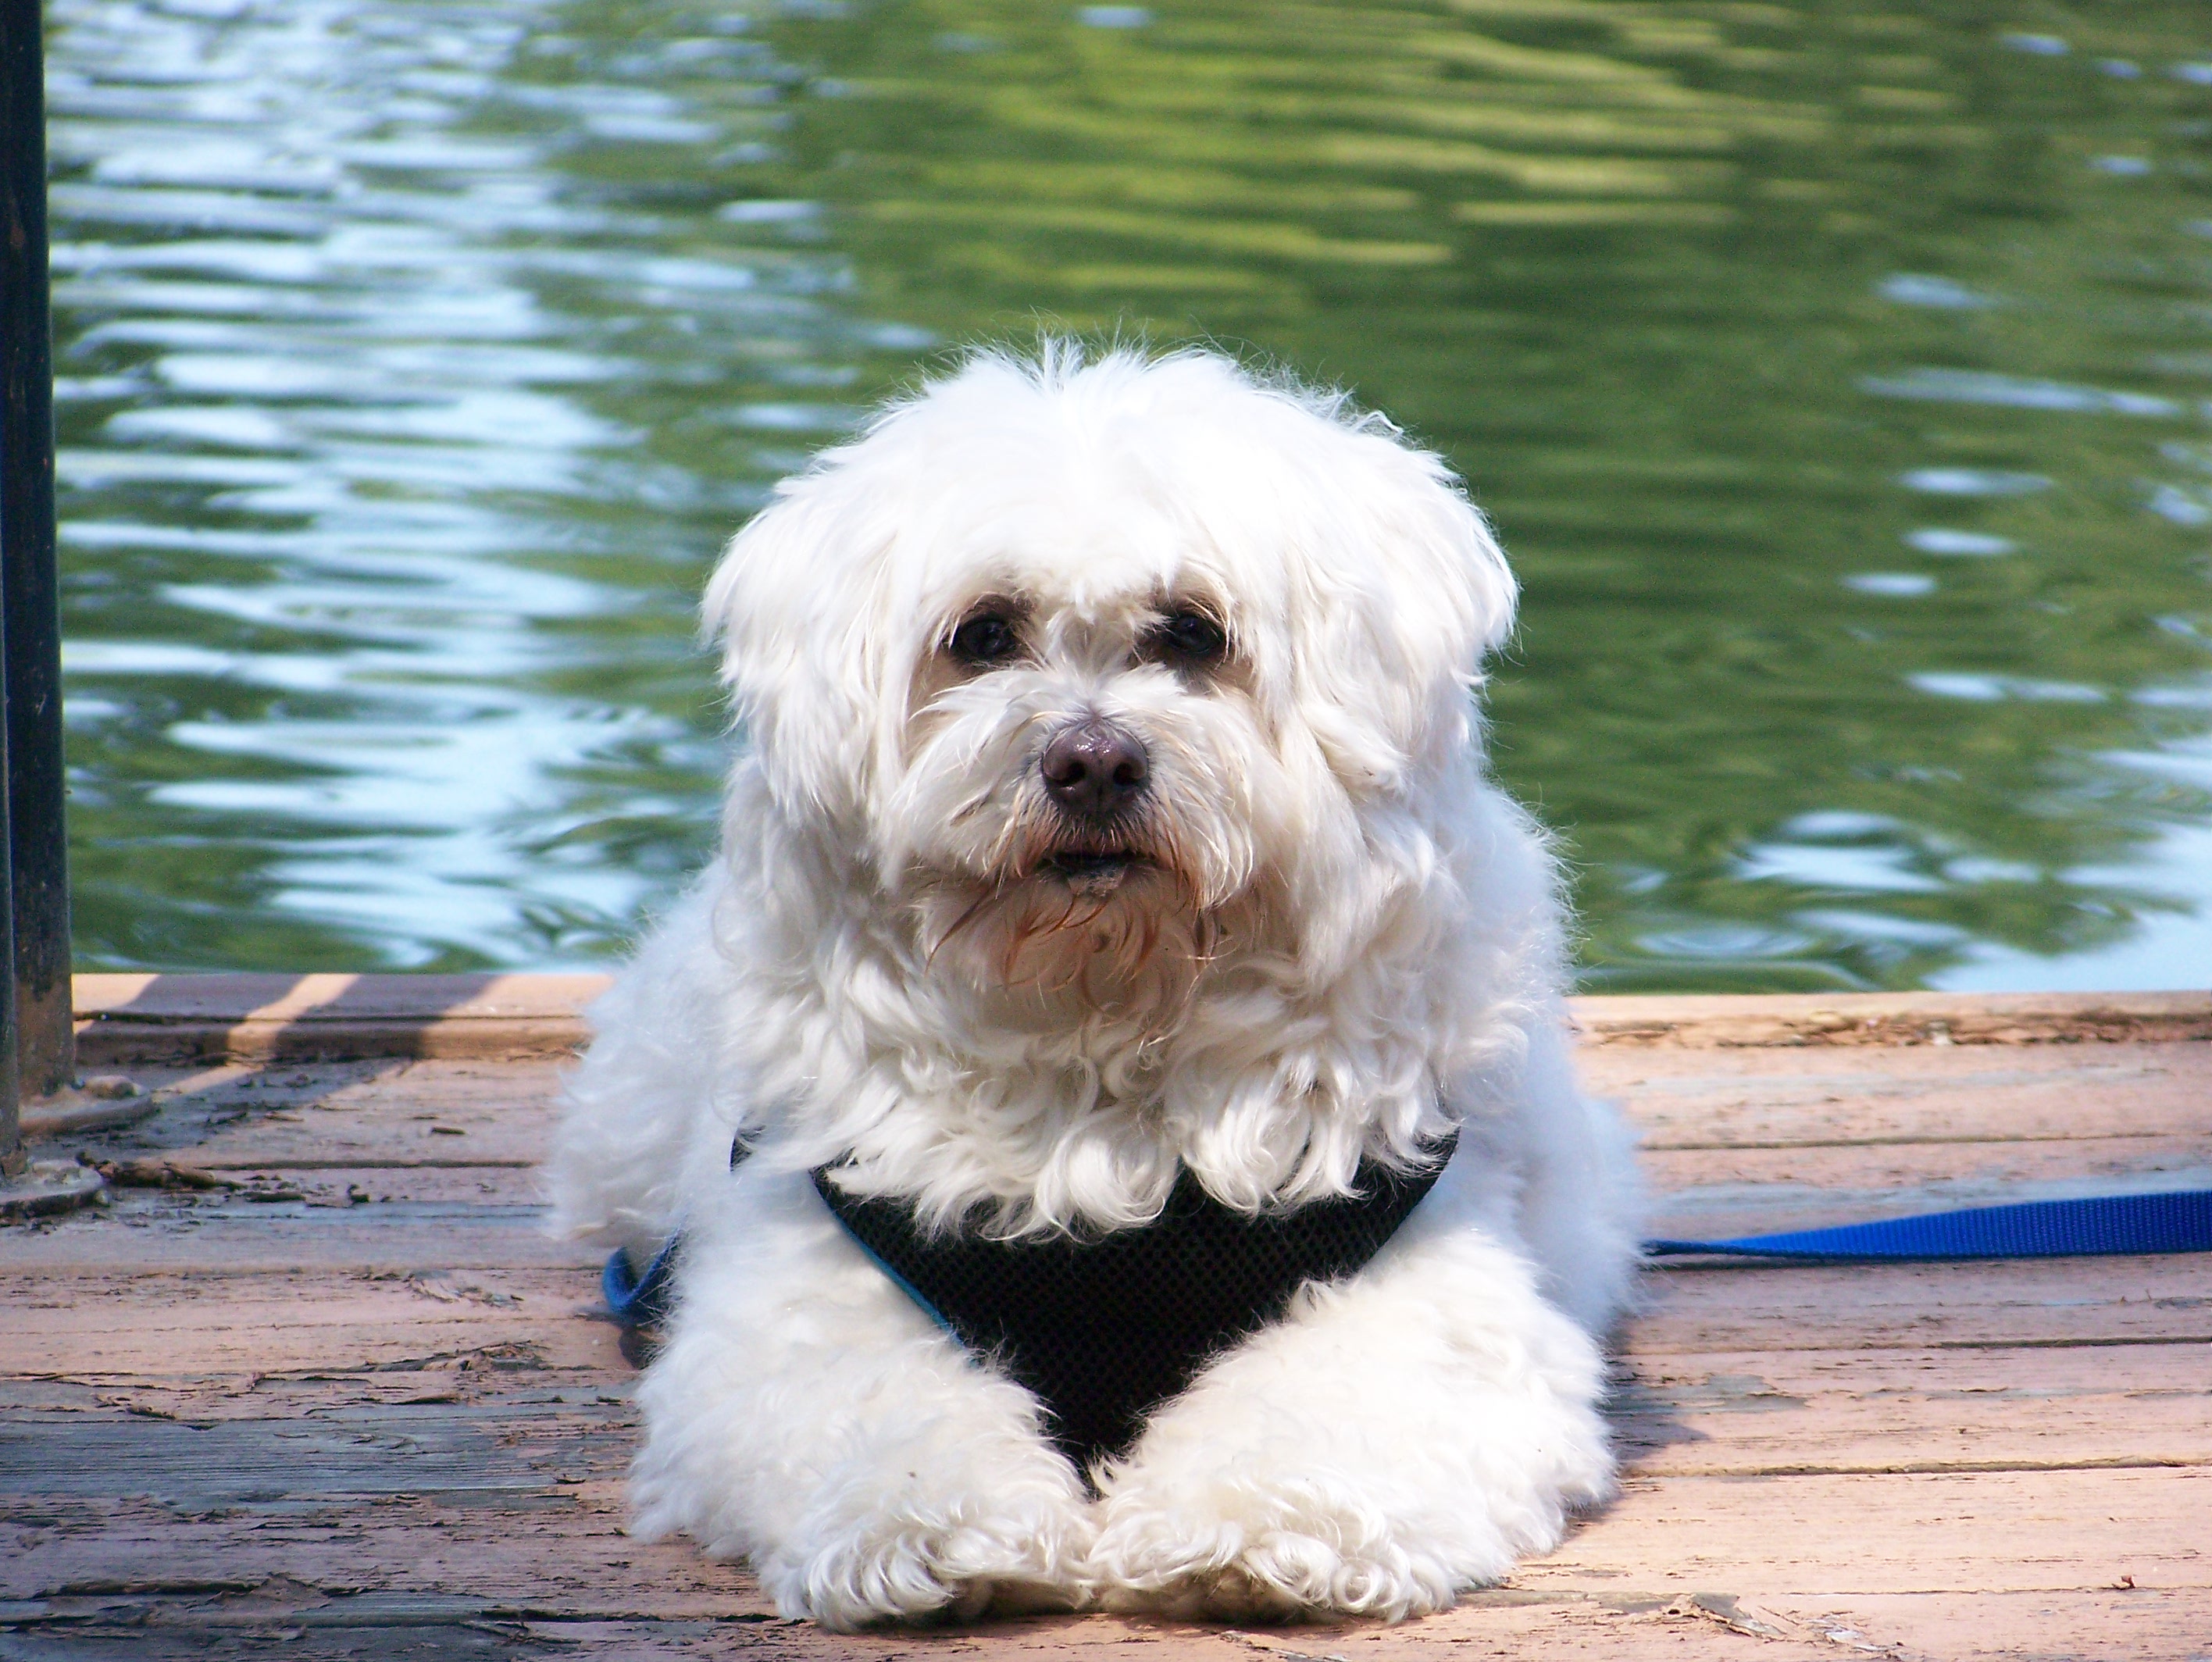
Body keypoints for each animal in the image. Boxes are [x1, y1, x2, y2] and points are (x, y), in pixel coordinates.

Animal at [541, 345, 1636, 1628]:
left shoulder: (1416, 1276)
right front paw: (937, 1528)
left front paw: (1259, 1529)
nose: (1093, 761)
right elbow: (872, 1407)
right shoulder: (810, 1271)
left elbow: (1342, 1412)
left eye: (1194, 633)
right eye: (982, 635)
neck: (1106, 1025)